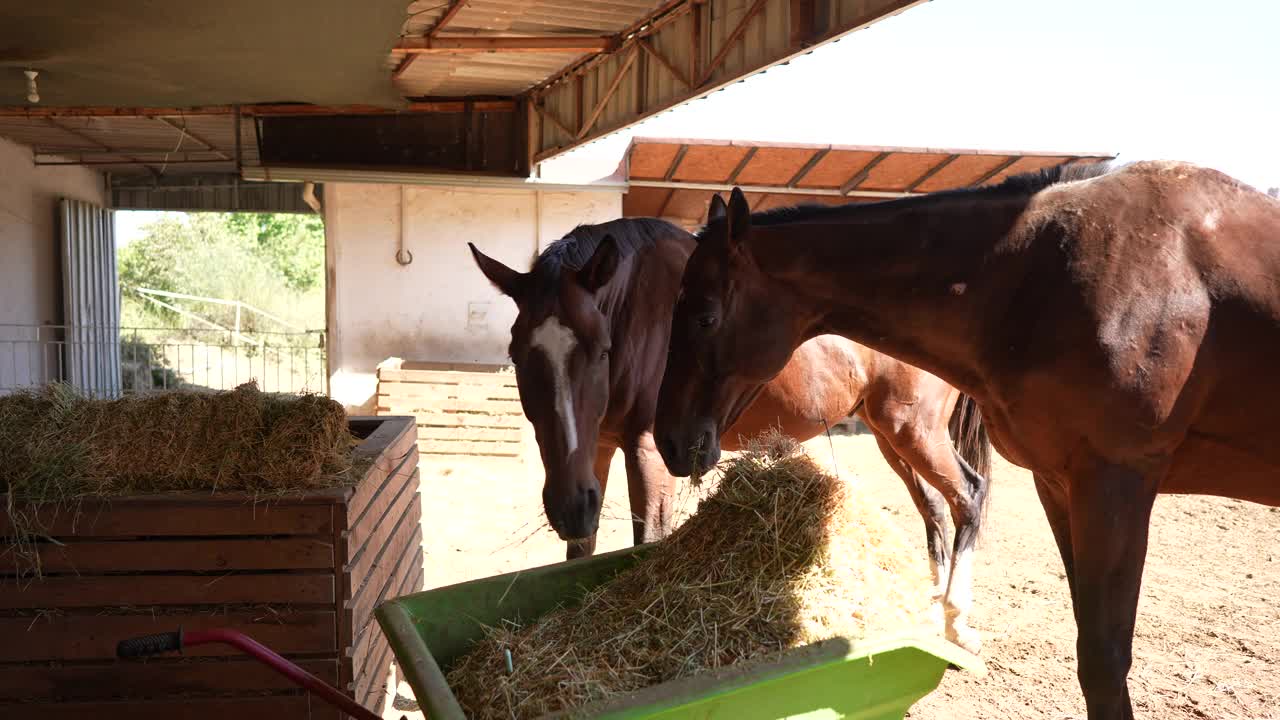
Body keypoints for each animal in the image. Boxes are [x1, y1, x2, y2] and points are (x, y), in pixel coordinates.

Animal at [465, 215, 993, 648]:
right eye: (516, 353)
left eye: (601, 348)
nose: (569, 507)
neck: (636, 310)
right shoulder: (594, 451)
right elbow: (580, 549)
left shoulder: (648, 453)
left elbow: (647, 541)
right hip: (890, 435)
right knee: (933, 507)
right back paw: (930, 606)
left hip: (915, 431)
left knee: (968, 494)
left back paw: (957, 622)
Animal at [655, 162, 1280, 717]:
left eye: (705, 316)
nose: (670, 441)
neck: (1038, 276)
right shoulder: (1061, 483)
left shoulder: (1115, 482)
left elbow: (1104, 663)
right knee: (944, 506)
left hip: (912, 433)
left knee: (963, 497)